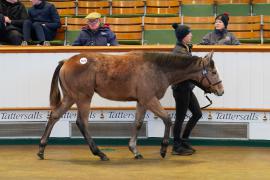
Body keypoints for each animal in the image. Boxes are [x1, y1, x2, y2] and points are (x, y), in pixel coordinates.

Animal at [37, 50, 225, 160]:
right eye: (213, 72)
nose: (221, 90)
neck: (157, 68)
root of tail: (66, 61)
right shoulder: (149, 99)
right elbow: (167, 119)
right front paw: (163, 149)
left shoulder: (141, 102)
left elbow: (138, 123)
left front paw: (134, 150)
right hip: (83, 98)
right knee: (81, 123)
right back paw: (100, 153)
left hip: (70, 97)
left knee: (54, 116)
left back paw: (41, 149)